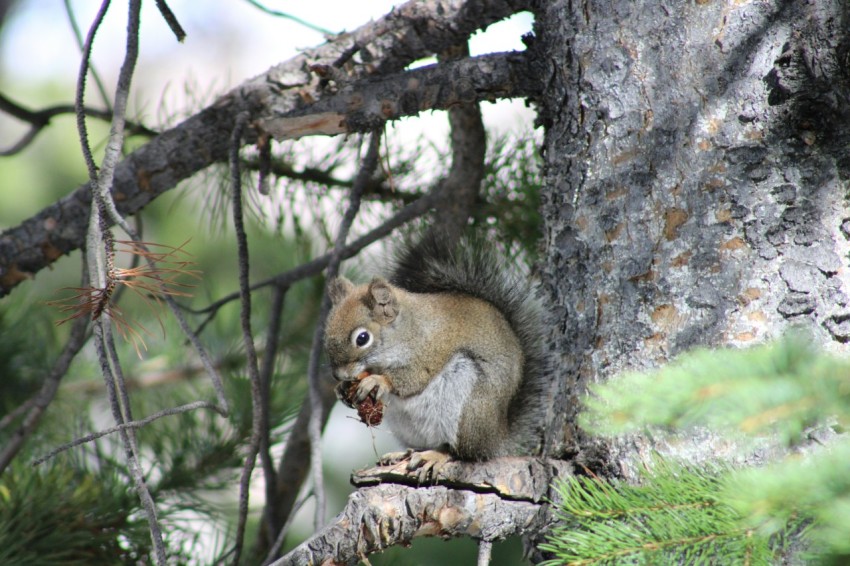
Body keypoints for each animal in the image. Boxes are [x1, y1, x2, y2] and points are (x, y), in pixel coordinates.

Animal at [322, 235, 548, 480]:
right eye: (326, 330)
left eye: (362, 338)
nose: (338, 375)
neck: (408, 328)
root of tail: (497, 439)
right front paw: (342, 389)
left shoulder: (431, 348)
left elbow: (414, 377)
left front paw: (377, 381)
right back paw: (404, 453)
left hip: (469, 406)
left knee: (461, 452)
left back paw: (436, 456)